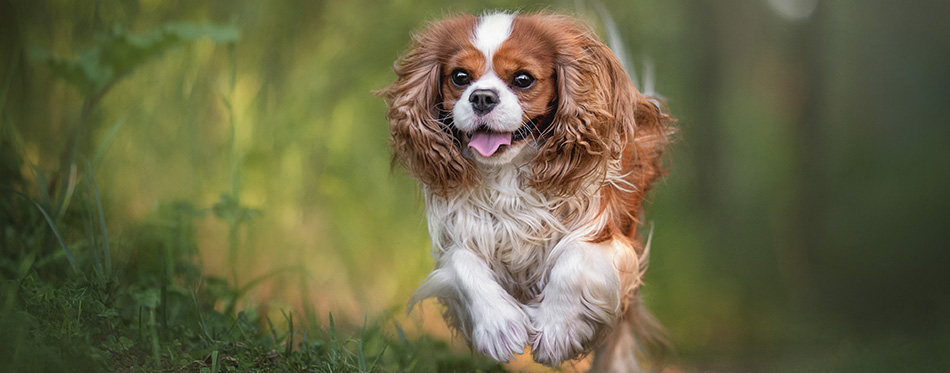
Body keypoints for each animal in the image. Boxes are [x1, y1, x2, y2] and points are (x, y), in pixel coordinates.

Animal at [380, 11, 676, 370]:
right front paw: (498, 326)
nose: (481, 97)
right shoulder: (459, 234)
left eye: (523, 79)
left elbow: (574, 259)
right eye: (460, 77)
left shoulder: (610, 239)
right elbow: (463, 262)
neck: (508, 174)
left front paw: (556, 329)